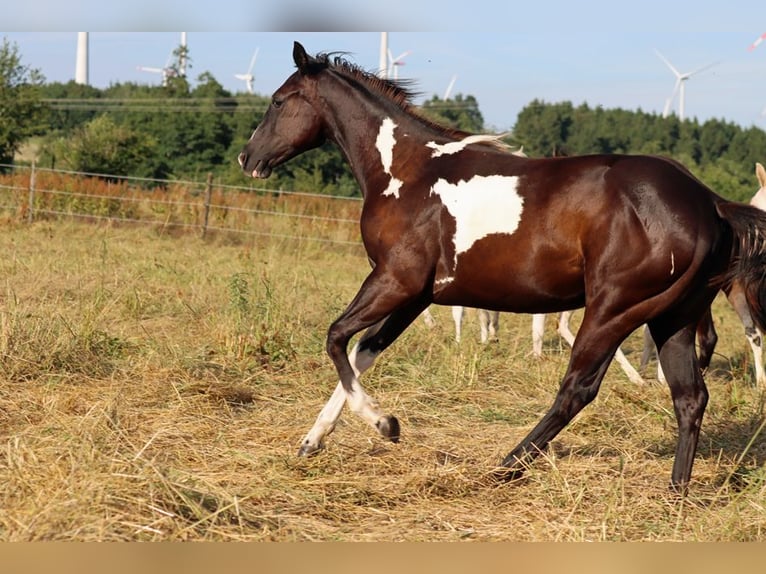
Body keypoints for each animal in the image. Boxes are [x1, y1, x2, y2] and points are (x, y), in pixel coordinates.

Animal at [238, 42, 766, 492]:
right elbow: (363, 351)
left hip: (614, 309)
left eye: (279, 101)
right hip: (673, 317)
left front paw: (385, 424)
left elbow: (335, 339)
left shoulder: (394, 281)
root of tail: (711, 203)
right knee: (689, 396)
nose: (248, 156)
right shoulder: (415, 296)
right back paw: (676, 491)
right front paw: (313, 440)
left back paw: (506, 465)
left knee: (578, 389)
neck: (406, 173)